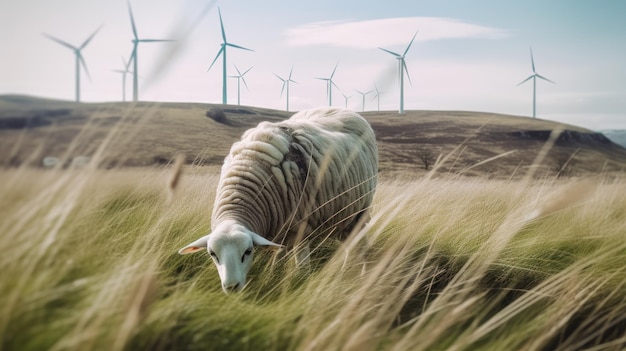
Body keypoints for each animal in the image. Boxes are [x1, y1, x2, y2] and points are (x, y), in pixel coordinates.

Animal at [178, 107, 378, 294]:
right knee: (349, 245)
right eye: (212, 254)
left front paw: (300, 282)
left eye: (248, 251)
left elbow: (301, 266)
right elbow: (278, 260)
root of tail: (343, 110)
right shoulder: (278, 233)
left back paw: (359, 275)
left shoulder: (300, 228)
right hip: (342, 216)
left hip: (359, 212)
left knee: (360, 246)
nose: (231, 287)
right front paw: (271, 278)